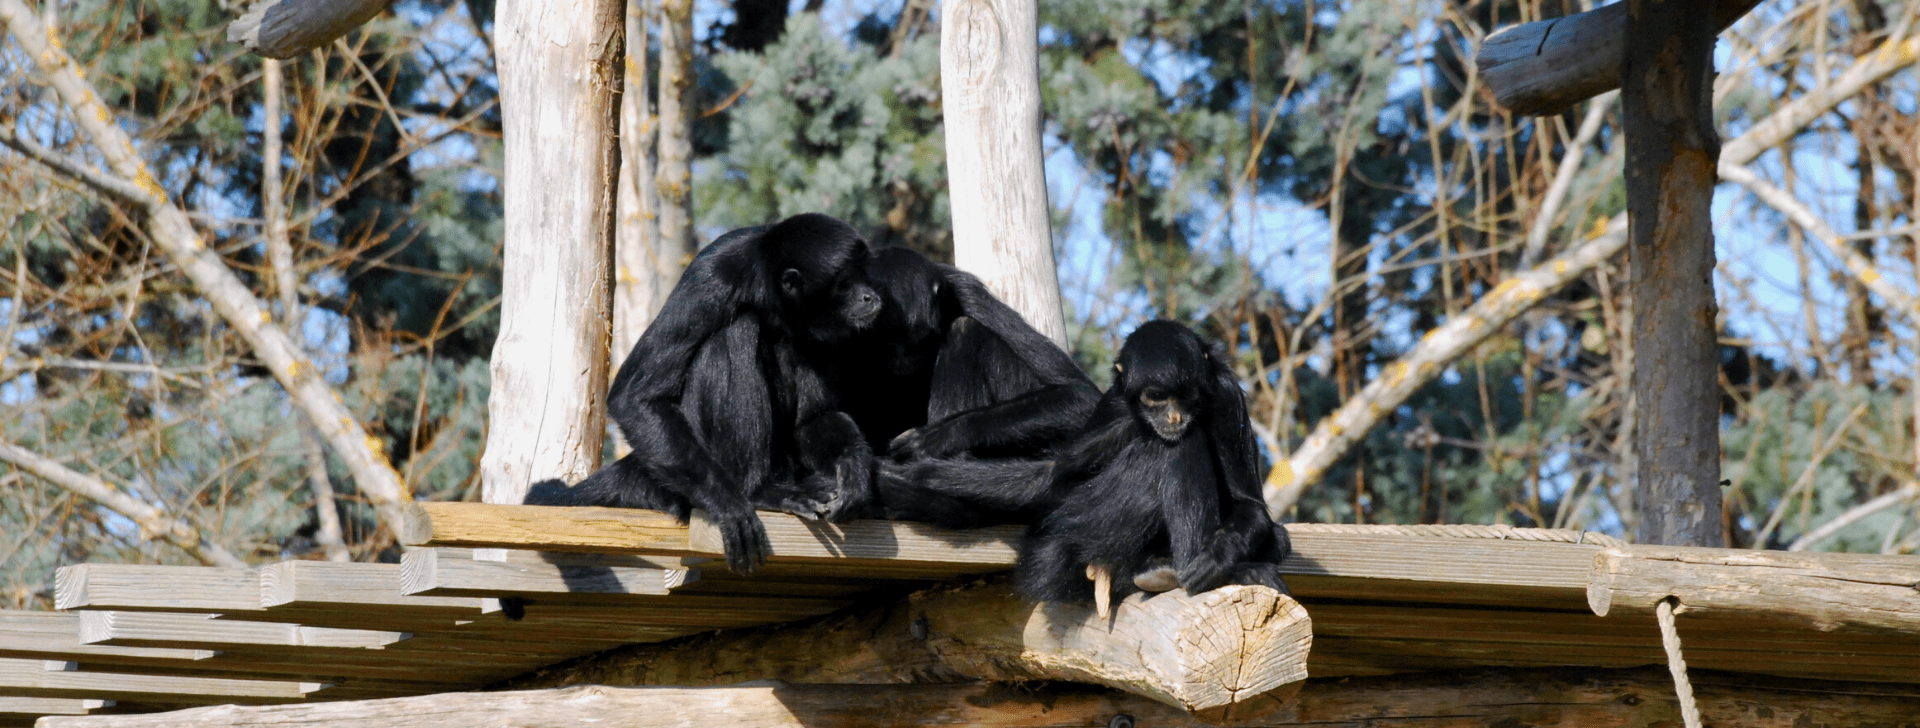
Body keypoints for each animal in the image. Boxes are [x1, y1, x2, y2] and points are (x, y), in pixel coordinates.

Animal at [529, 212, 879, 576]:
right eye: (844, 282)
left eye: (861, 275)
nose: (869, 295)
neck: (765, 289)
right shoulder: (712, 276)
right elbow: (633, 398)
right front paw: (731, 506)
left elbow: (813, 419)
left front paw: (852, 464)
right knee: (735, 330)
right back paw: (759, 492)